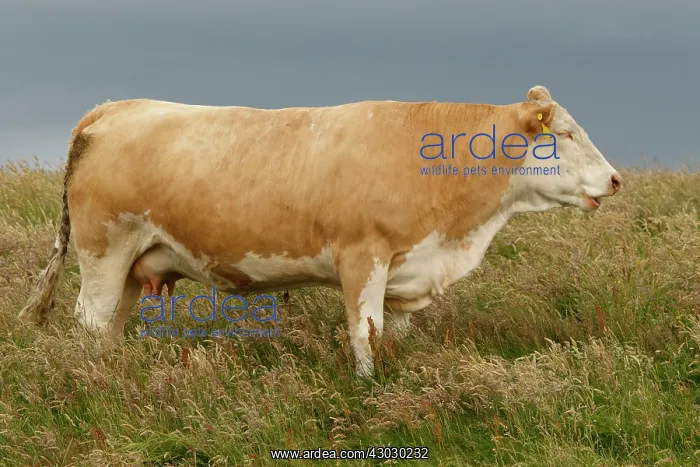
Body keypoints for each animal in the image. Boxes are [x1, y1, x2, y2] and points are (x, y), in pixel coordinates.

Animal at [18, 85, 622, 378]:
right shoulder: (362, 256)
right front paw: (367, 388)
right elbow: (363, 334)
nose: (616, 178)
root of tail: (113, 107)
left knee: (111, 328)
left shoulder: (406, 272)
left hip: (131, 264)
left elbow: (391, 337)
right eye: (566, 134)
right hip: (103, 251)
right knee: (93, 322)